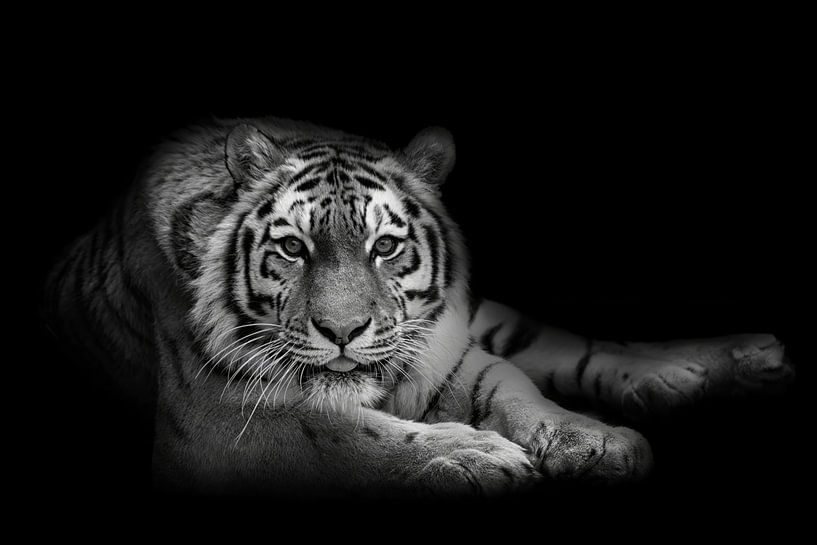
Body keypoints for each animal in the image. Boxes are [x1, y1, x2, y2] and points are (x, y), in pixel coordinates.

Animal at [43, 117, 794, 497]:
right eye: (291, 247)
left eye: (385, 246)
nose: (342, 330)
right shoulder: (222, 419)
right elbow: (343, 434)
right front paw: (476, 456)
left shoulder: (447, 350)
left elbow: (513, 386)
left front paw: (596, 439)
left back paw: (727, 363)